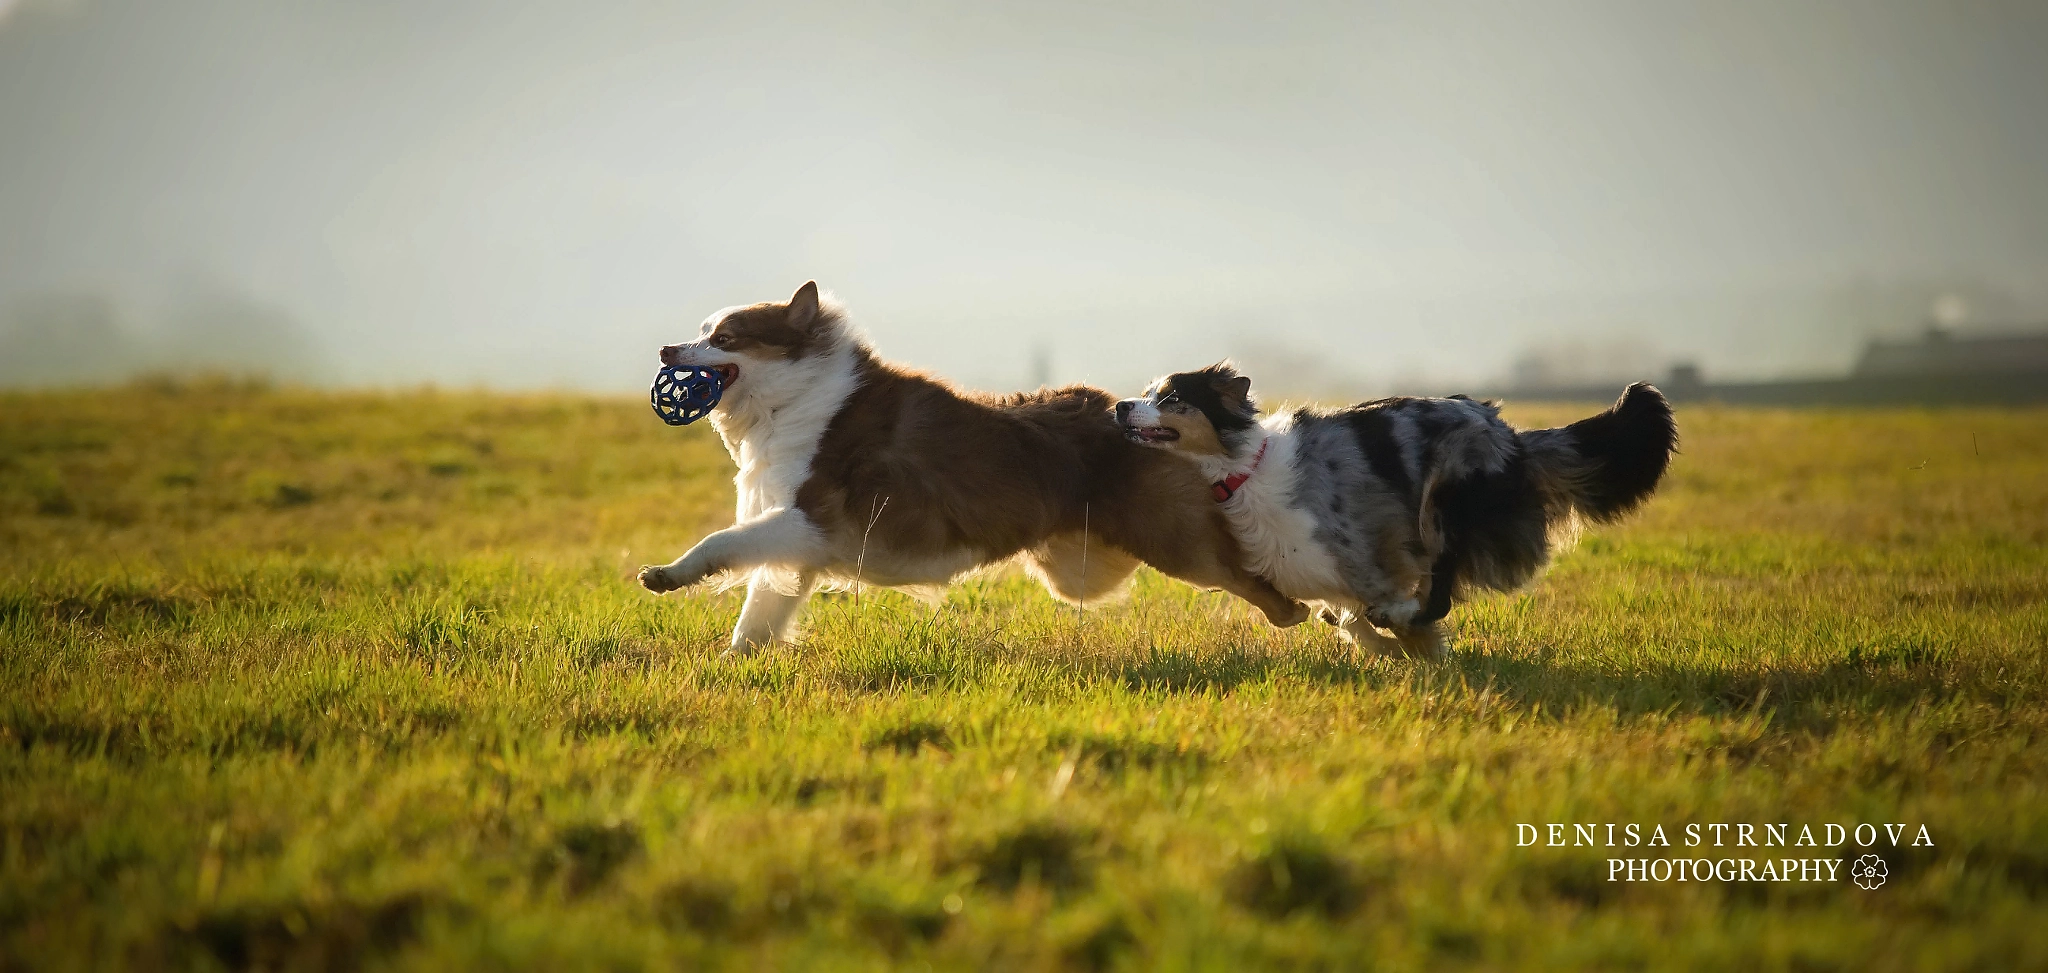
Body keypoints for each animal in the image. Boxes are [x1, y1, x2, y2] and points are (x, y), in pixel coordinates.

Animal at [638, 284, 1302, 655]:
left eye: (725, 337)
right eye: (701, 331)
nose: (666, 349)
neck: (792, 400)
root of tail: (1149, 414)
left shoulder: (811, 518)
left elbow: (722, 541)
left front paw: (666, 575)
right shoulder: (802, 545)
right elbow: (759, 613)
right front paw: (733, 665)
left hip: (1177, 542)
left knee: (1257, 579)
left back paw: (1314, 614)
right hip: (1083, 570)